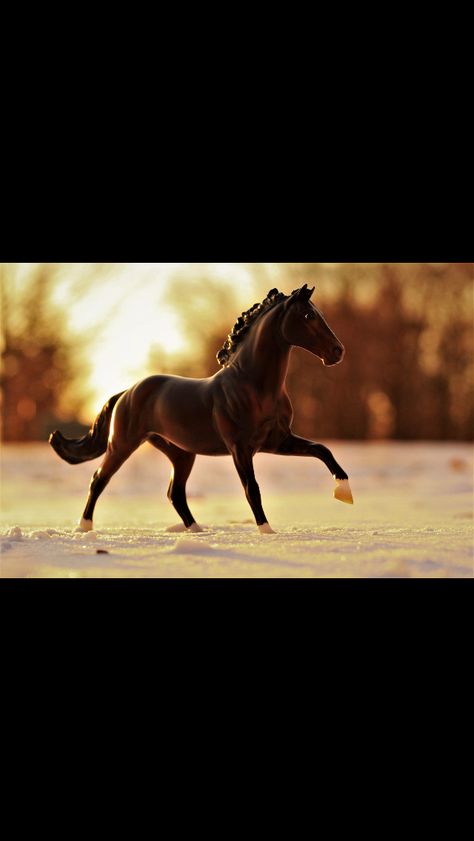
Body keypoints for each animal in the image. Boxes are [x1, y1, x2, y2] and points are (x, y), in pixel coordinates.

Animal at [49, 282, 352, 532]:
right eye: (309, 316)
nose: (338, 352)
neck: (253, 386)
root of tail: (127, 392)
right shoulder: (240, 448)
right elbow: (251, 488)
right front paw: (266, 531)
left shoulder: (277, 441)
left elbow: (322, 450)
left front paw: (344, 492)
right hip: (123, 444)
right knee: (98, 479)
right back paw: (84, 528)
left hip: (181, 453)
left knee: (175, 493)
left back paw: (197, 531)